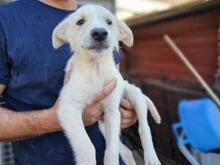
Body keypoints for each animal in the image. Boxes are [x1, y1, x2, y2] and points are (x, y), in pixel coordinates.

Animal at [52, 4, 161, 164]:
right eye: (80, 21)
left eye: (109, 22)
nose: (99, 33)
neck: (95, 68)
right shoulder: (68, 108)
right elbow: (87, 147)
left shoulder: (112, 111)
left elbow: (111, 150)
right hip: (102, 125)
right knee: (127, 151)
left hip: (135, 96)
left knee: (144, 128)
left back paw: (151, 157)